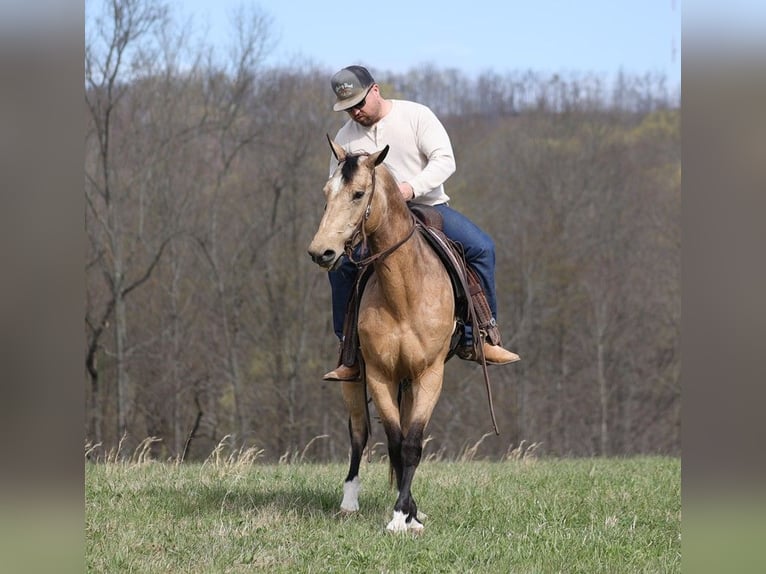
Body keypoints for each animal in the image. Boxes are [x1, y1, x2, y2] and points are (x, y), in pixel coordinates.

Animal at [308, 137, 460, 532]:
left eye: (359, 193)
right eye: (326, 192)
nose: (321, 252)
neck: (404, 293)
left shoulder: (429, 375)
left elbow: (412, 443)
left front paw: (406, 515)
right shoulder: (379, 375)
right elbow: (393, 442)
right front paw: (400, 516)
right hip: (353, 379)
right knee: (358, 434)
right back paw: (349, 502)